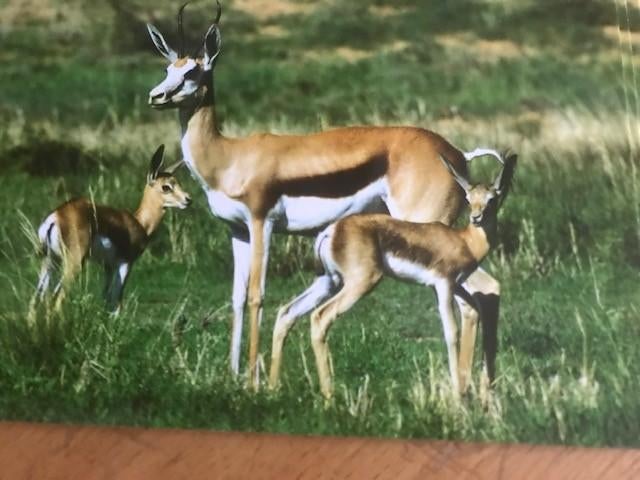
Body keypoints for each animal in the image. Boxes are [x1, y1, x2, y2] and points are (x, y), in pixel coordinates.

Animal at [30, 145, 192, 314]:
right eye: (166, 187)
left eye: (178, 183)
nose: (188, 199)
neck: (140, 223)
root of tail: (57, 216)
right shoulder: (125, 263)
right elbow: (117, 300)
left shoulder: (108, 266)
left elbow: (106, 297)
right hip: (73, 262)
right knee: (57, 299)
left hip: (50, 261)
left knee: (36, 299)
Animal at [270, 153, 516, 399]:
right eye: (468, 198)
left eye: (491, 199)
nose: (476, 217)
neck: (465, 241)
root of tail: (332, 231)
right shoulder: (443, 284)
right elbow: (451, 332)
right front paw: (457, 394)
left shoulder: (455, 285)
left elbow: (473, 308)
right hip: (360, 282)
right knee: (321, 317)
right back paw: (329, 394)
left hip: (328, 282)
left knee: (287, 312)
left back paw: (272, 387)